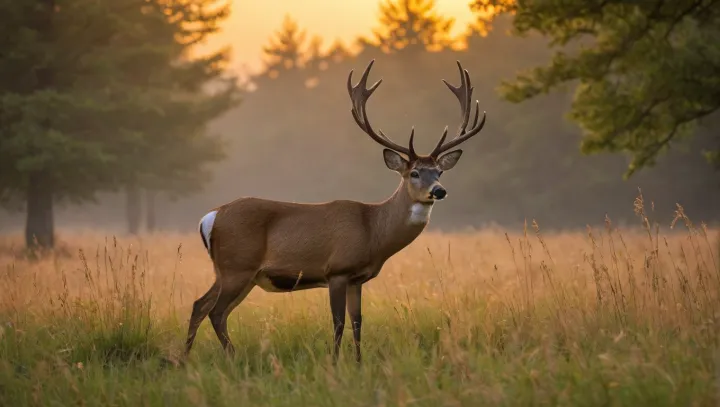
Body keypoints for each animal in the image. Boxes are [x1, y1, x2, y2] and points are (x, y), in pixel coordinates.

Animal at [183, 59, 487, 364]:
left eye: (439, 172)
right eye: (414, 173)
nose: (439, 191)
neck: (373, 230)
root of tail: (210, 217)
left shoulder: (357, 279)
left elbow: (358, 322)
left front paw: (359, 363)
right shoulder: (337, 270)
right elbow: (339, 322)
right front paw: (335, 362)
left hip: (229, 271)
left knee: (199, 305)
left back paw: (184, 358)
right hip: (237, 266)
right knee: (216, 311)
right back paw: (232, 356)